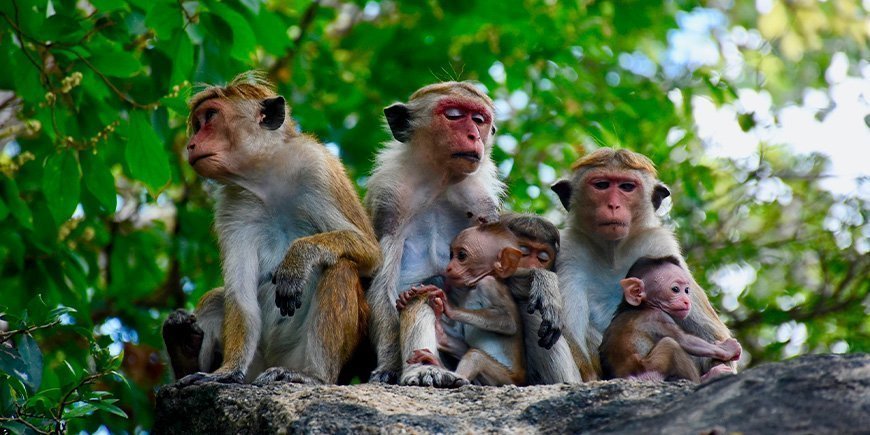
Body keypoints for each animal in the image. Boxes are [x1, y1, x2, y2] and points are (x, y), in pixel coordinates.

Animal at [162, 71, 381, 386]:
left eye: (211, 117)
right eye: (199, 123)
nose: (191, 145)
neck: (266, 176)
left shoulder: (318, 168)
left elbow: (371, 253)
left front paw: (297, 259)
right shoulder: (231, 205)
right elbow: (240, 293)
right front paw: (227, 370)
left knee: (340, 268)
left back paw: (313, 376)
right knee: (218, 298)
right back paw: (183, 350)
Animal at [401, 223, 526, 386]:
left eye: (461, 256)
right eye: (451, 255)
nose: (448, 267)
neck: (473, 287)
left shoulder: (489, 284)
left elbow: (509, 322)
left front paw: (449, 307)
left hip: (505, 379)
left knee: (475, 355)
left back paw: (454, 376)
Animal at [599, 256, 741, 382]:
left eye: (687, 290)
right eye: (675, 289)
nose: (687, 301)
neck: (641, 306)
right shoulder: (658, 317)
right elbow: (685, 341)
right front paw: (728, 348)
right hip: (650, 370)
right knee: (670, 345)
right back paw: (706, 378)